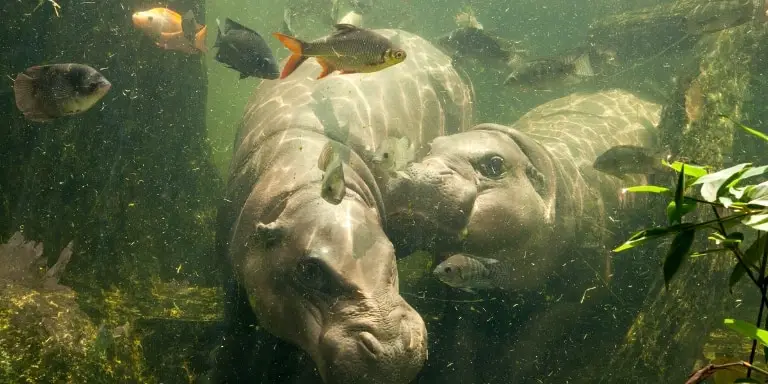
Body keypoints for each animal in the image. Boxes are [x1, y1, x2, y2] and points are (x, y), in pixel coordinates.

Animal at [212, 28, 474, 382]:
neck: (305, 189)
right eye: (308, 270)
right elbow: (235, 334)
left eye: (391, 254)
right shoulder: (234, 274)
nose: (392, 350)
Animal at [388, 89, 664, 380]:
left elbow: (532, 343)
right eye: (432, 146)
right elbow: (460, 342)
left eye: (495, 164)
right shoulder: (463, 283)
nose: (416, 173)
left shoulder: (582, 289)